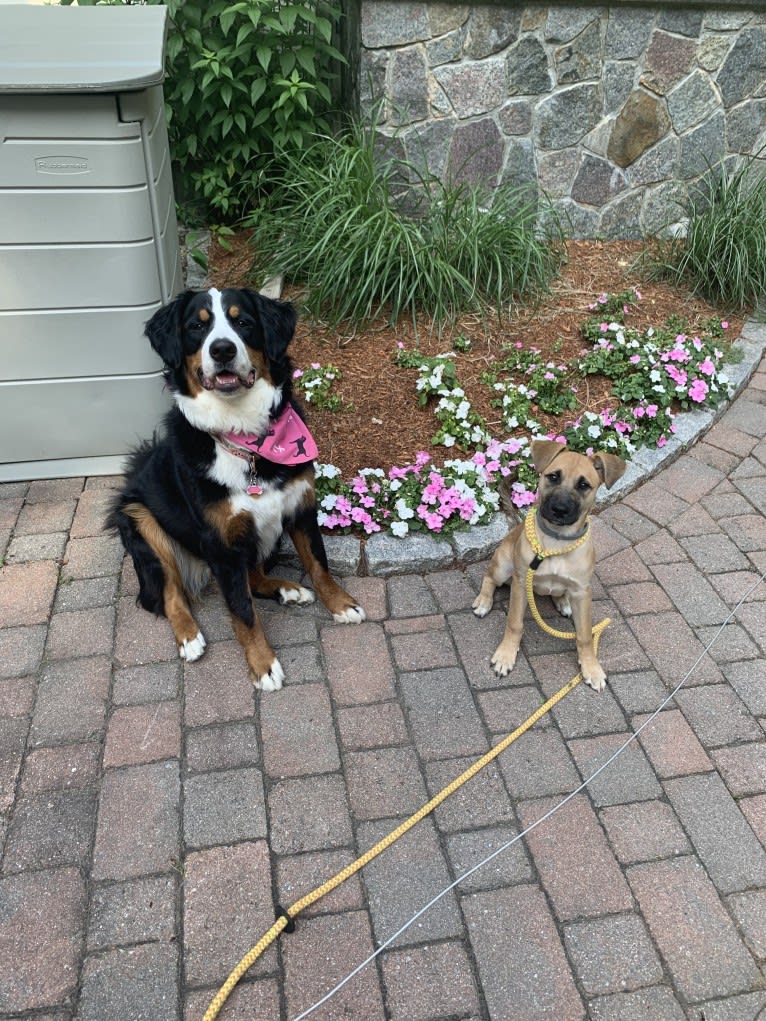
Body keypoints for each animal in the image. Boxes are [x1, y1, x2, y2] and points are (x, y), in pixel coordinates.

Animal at [107, 283, 365, 690]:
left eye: (243, 322)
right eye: (197, 327)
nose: (223, 350)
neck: (244, 436)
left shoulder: (300, 508)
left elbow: (319, 564)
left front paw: (340, 603)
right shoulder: (222, 543)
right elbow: (242, 609)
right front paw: (263, 664)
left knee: (254, 575)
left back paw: (287, 589)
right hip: (140, 518)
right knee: (171, 594)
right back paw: (189, 636)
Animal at [473, 441, 629, 690]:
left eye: (584, 485)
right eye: (553, 476)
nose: (559, 510)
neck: (557, 542)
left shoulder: (582, 591)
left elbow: (585, 636)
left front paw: (591, 667)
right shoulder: (520, 584)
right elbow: (514, 623)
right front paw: (506, 655)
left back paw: (563, 602)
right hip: (503, 566)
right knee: (489, 578)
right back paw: (483, 601)